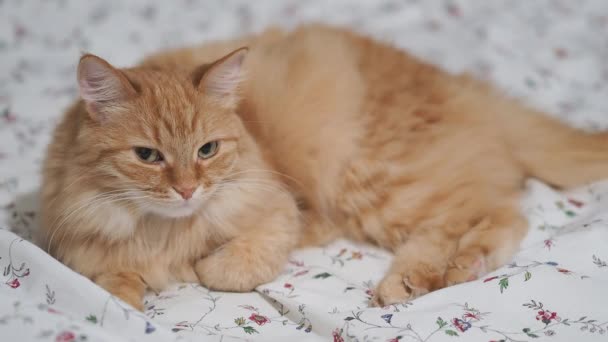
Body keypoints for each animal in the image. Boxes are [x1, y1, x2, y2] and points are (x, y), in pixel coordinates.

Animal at [40, 25, 604, 308]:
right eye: (148, 156)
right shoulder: (86, 254)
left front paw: (199, 269)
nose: (186, 191)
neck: (161, 231)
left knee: (492, 216)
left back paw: (432, 277)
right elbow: (116, 291)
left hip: (377, 179)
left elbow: (231, 268)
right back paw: (425, 280)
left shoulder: (274, 210)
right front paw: (133, 300)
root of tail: (465, 86)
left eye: (207, 150)